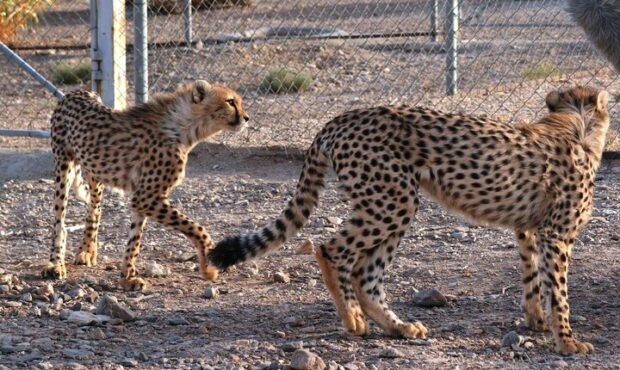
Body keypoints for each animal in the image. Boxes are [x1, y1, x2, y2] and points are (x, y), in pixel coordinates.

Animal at [41, 79, 251, 290]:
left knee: (94, 210)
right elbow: (198, 228)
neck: (184, 126)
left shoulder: (143, 197)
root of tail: (76, 92)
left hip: (95, 172)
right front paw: (210, 265)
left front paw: (127, 277)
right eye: (230, 102)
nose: (247, 118)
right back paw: (55, 264)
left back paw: (87, 251)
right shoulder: (146, 197)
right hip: (63, 167)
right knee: (59, 219)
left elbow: (135, 239)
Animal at [209, 84, 612, 356]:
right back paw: (354, 320)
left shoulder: (528, 230)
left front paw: (536, 322)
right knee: (331, 250)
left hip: (392, 203)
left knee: (365, 273)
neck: (572, 121)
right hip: (393, 200)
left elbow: (533, 280)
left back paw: (398, 327)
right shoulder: (556, 236)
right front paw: (567, 340)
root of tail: (339, 119)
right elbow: (559, 291)